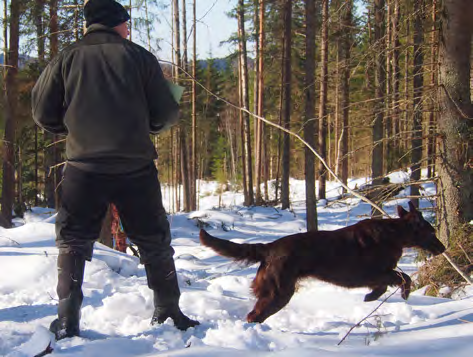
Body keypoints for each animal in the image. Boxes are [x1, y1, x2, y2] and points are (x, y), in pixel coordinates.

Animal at [199, 202, 446, 322]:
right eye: (432, 231)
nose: (443, 248)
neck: (394, 234)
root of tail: (268, 248)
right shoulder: (374, 272)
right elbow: (403, 277)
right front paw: (400, 294)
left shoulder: (377, 275)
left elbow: (389, 282)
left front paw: (371, 296)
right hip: (279, 292)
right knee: (254, 316)